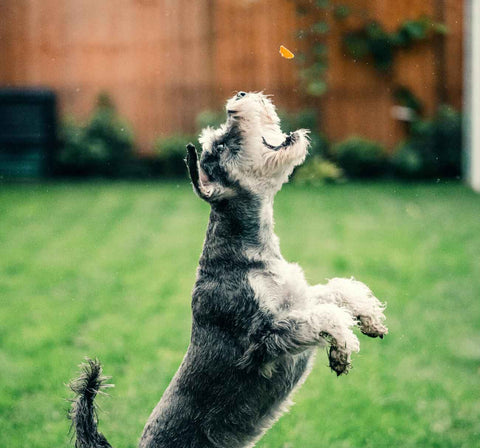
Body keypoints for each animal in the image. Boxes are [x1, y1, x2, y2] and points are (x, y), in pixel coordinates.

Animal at [69, 91, 388, 448]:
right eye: (220, 145)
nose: (240, 96)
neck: (250, 251)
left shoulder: (299, 300)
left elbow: (338, 291)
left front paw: (371, 319)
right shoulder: (263, 338)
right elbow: (325, 317)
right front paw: (343, 348)